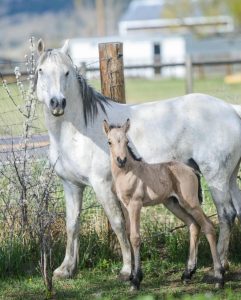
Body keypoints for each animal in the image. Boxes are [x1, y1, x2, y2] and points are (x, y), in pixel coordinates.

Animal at [103, 119, 224, 290]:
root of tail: (191, 169)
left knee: (208, 227)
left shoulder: (135, 205)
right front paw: (132, 275)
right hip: (173, 204)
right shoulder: (125, 206)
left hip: (190, 203)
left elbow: (135, 237)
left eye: (127, 141)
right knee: (193, 226)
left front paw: (136, 280)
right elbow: (128, 234)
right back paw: (188, 274)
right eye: (109, 142)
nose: (121, 160)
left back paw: (219, 277)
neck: (126, 173)